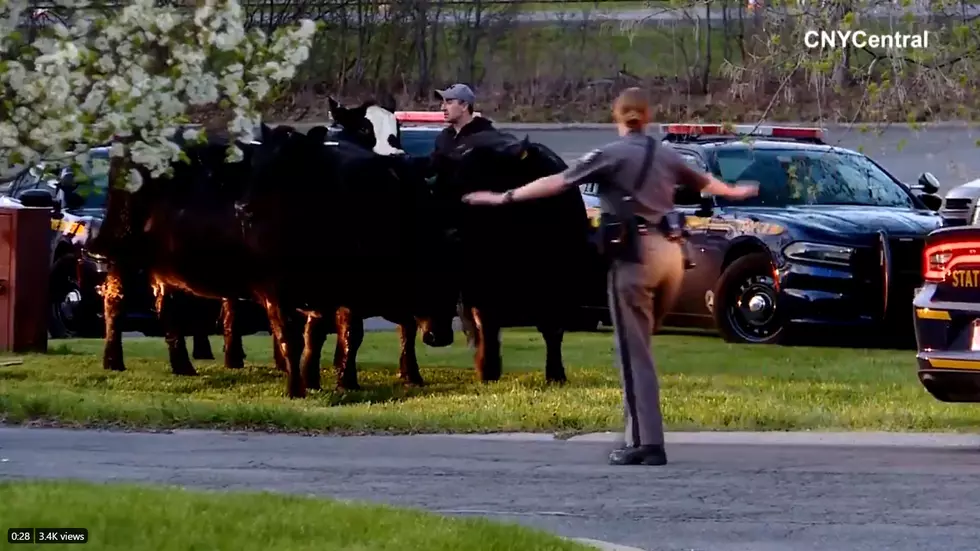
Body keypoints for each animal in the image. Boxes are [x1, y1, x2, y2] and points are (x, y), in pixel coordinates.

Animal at [434, 132, 588, 386]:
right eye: (448, 189)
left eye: (485, 178)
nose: (450, 233)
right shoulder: (480, 286)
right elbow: (485, 323)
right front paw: (488, 370)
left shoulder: (561, 279)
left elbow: (553, 329)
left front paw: (556, 374)